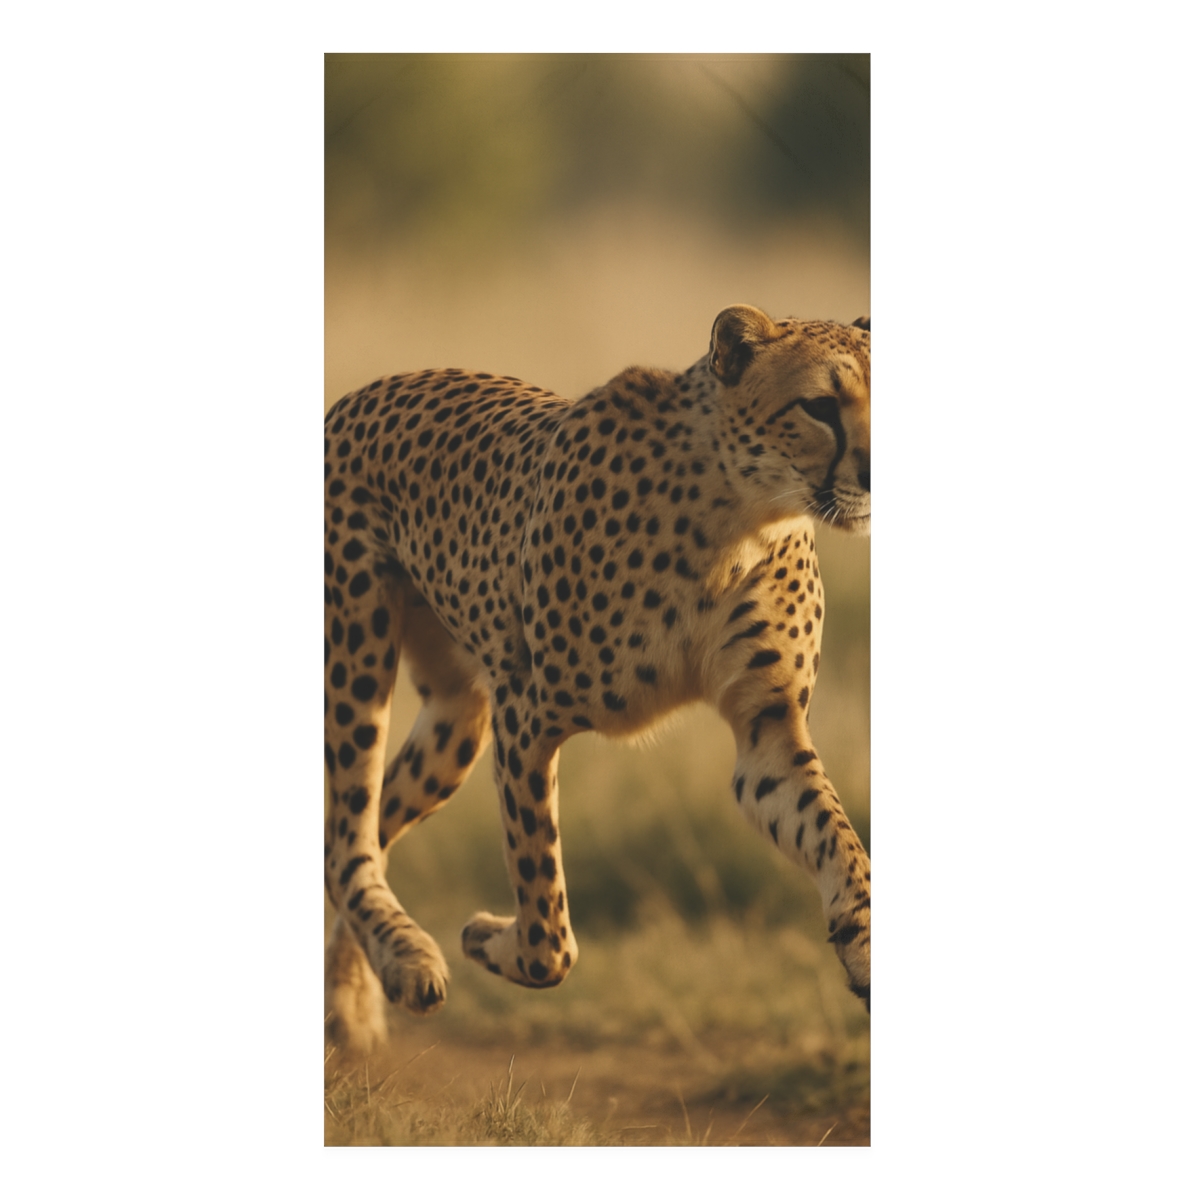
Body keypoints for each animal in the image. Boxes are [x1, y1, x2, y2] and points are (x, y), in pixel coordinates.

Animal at [324, 303, 871, 1053]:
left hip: (456, 722)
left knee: (366, 831)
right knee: (346, 839)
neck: (742, 514)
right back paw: (409, 961)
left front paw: (865, 946)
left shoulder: (768, 732)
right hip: (358, 657)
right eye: (819, 405)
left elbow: (838, 840)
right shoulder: (525, 715)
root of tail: (367, 392)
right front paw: (487, 938)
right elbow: (548, 925)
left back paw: (356, 1002)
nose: (876, 474)